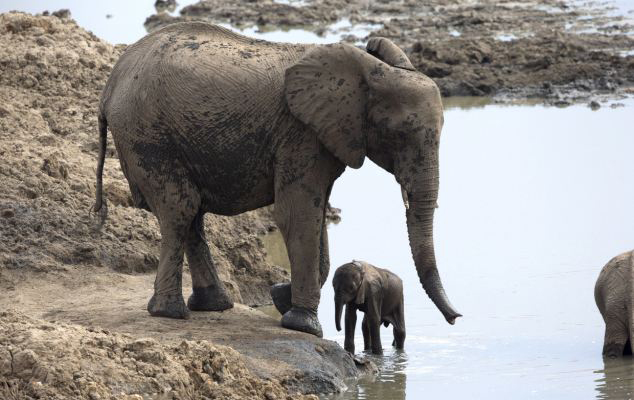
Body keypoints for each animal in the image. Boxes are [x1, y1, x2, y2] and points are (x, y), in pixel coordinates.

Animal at [92, 21, 460, 338]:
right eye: (400, 134)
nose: (456, 317)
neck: (369, 70)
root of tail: (109, 86)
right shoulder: (301, 133)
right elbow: (297, 213)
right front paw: (304, 325)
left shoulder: (323, 136)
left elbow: (318, 210)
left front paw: (281, 297)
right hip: (147, 135)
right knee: (179, 209)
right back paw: (170, 313)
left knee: (191, 211)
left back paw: (213, 305)